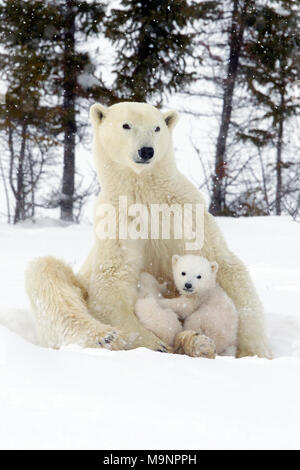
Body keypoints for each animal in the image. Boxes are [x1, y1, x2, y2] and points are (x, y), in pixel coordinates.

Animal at [25, 101, 272, 358]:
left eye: (157, 127)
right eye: (126, 125)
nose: (146, 151)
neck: (144, 193)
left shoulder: (185, 212)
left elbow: (223, 262)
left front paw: (253, 351)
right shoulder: (116, 220)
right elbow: (111, 280)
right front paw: (153, 343)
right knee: (46, 276)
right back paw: (105, 337)